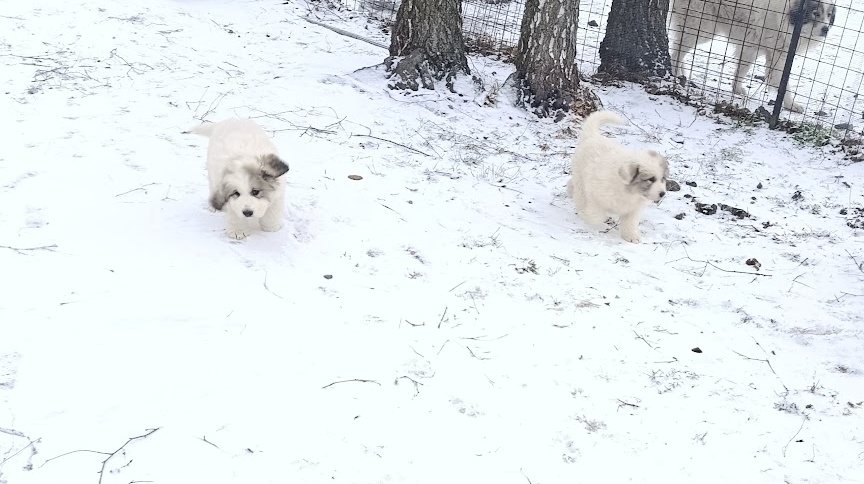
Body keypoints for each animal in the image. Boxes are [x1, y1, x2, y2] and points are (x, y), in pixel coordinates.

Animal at [566, 111, 668, 244]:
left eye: (663, 179)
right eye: (651, 179)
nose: (663, 194)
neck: (629, 192)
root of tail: (593, 136)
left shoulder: (633, 209)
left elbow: (629, 223)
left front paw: (631, 236)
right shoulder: (595, 194)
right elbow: (595, 215)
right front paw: (590, 219)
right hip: (580, 176)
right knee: (578, 189)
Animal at [669, 0, 837, 113]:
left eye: (829, 15)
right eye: (816, 14)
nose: (826, 29)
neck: (787, 17)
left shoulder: (750, 47)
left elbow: (742, 70)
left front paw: (737, 89)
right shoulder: (778, 57)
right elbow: (783, 84)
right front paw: (791, 104)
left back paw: (681, 73)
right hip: (702, 27)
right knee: (677, 50)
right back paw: (676, 73)